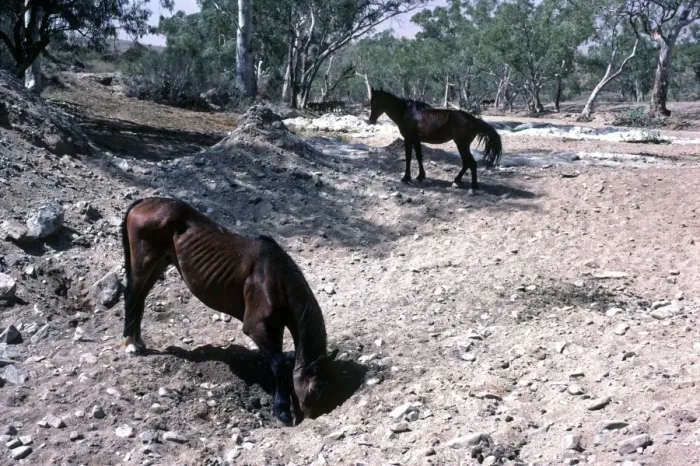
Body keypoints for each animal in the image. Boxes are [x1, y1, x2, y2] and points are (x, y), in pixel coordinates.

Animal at [120, 197, 338, 426]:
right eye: (314, 389)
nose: (312, 416)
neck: (275, 276)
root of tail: (145, 202)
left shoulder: (274, 328)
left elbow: (278, 362)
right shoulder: (256, 328)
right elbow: (277, 364)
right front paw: (282, 411)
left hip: (160, 262)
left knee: (140, 299)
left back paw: (137, 341)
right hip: (145, 262)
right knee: (132, 296)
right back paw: (130, 344)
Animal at [368, 88, 502, 189]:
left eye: (377, 102)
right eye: (371, 102)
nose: (371, 120)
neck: (406, 113)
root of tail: (474, 120)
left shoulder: (408, 139)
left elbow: (408, 158)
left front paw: (406, 178)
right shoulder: (416, 140)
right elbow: (419, 157)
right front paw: (420, 176)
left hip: (462, 145)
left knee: (471, 163)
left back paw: (473, 187)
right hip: (462, 146)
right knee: (466, 163)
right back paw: (457, 181)